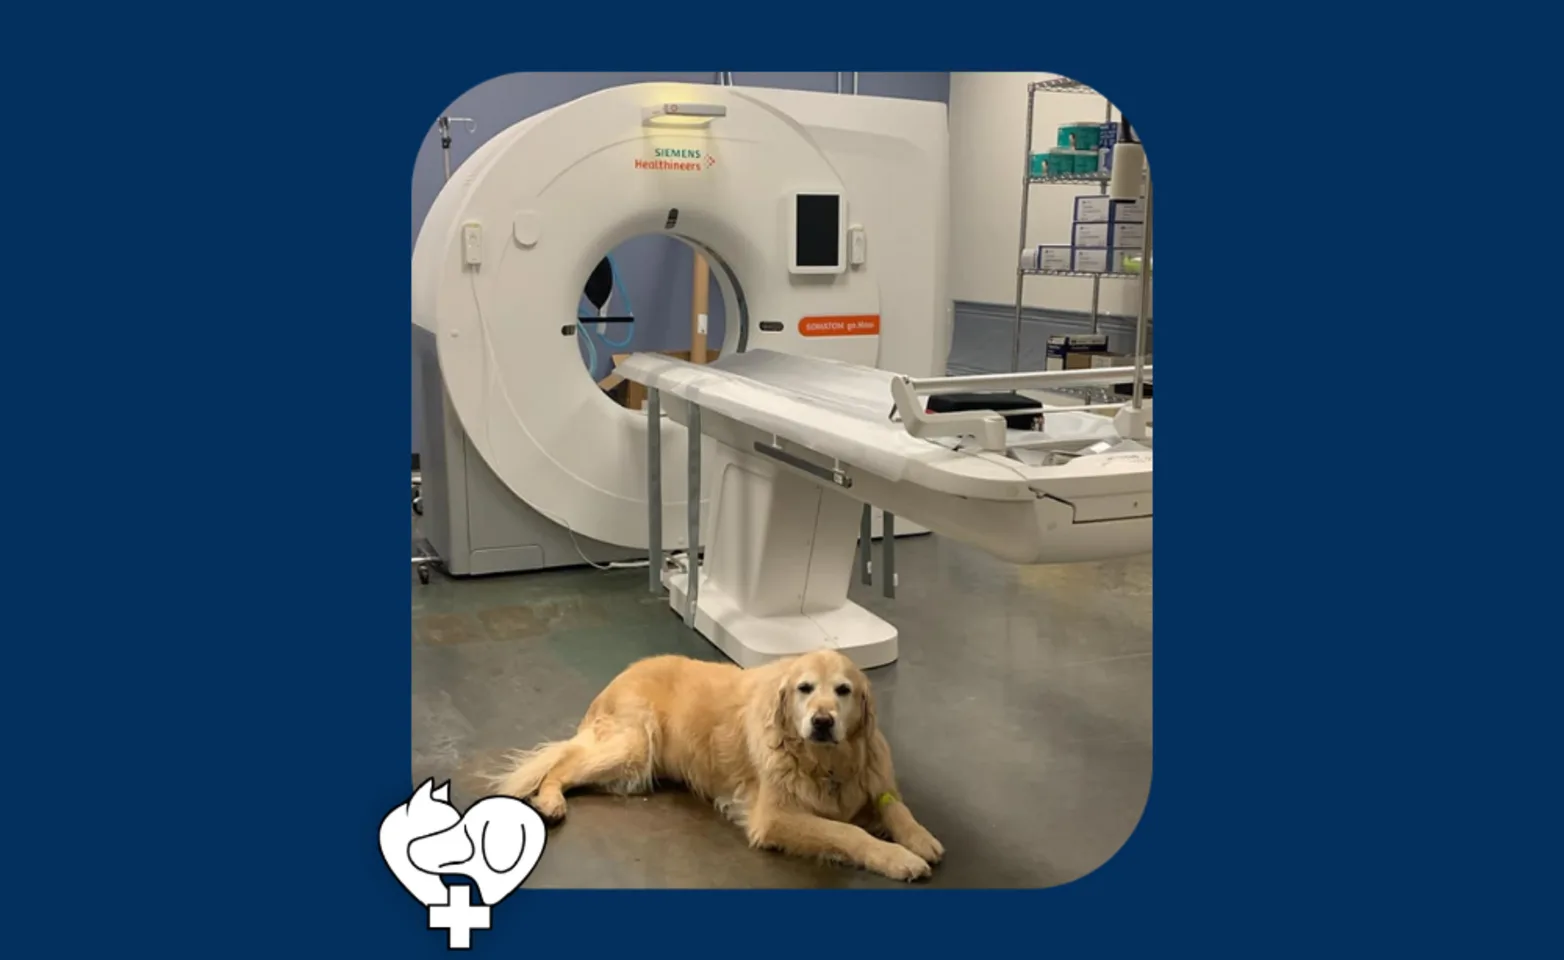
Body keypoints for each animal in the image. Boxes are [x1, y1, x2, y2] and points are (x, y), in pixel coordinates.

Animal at [491, 650, 938, 881]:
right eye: (804, 688)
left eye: (843, 690)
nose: (823, 721)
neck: (825, 764)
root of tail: (620, 675)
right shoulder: (774, 818)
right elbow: (846, 832)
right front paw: (898, 859)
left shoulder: (873, 780)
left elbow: (897, 808)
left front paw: (919, 839)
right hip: (632, 749)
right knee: (561, 765)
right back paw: (550, 801)